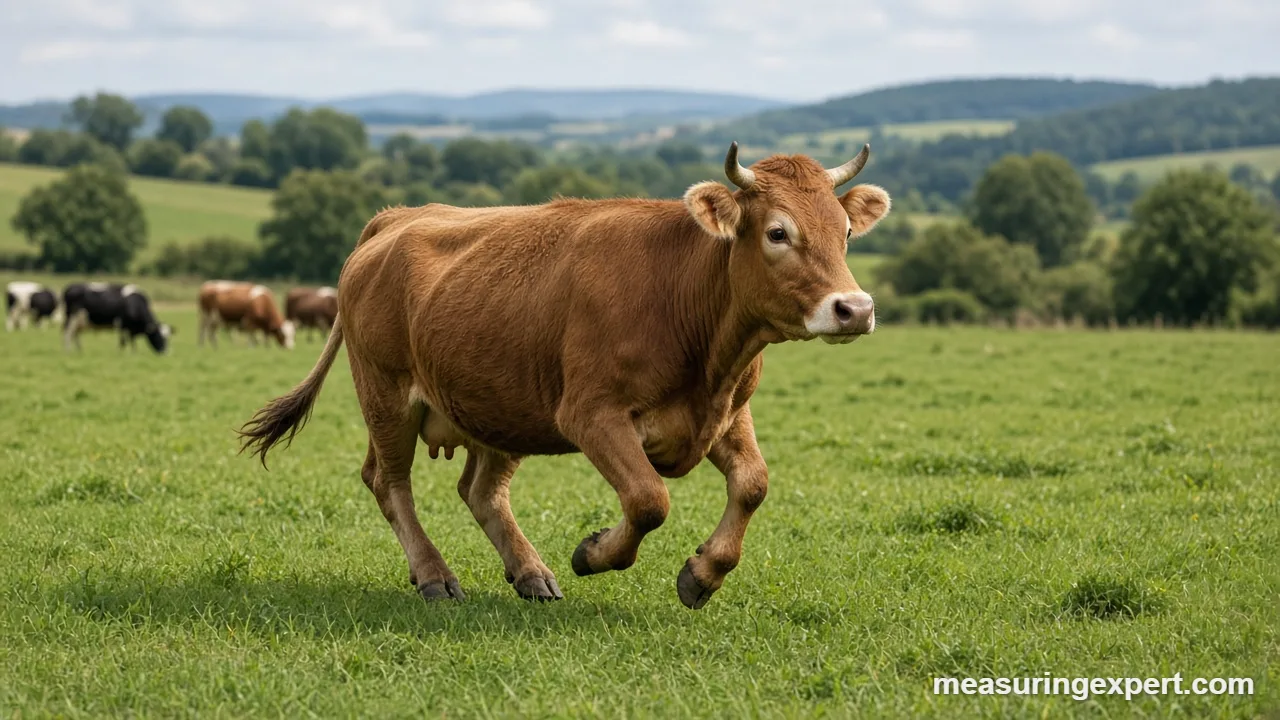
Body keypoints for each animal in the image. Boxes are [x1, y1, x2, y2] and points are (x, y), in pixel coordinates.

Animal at [239, 143, 889, 609]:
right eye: (778, 231)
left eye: (845, 232)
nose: (854, 308)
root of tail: (397, 218)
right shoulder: (591, 413)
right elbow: (648, 499)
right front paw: (594, 553)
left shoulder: (727, 411)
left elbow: (753, 485)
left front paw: (702, 574)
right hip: (386, 395)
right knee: (389, 483)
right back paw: (435, 576)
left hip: (501, 403)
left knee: (480, 491)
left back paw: (531, 573)